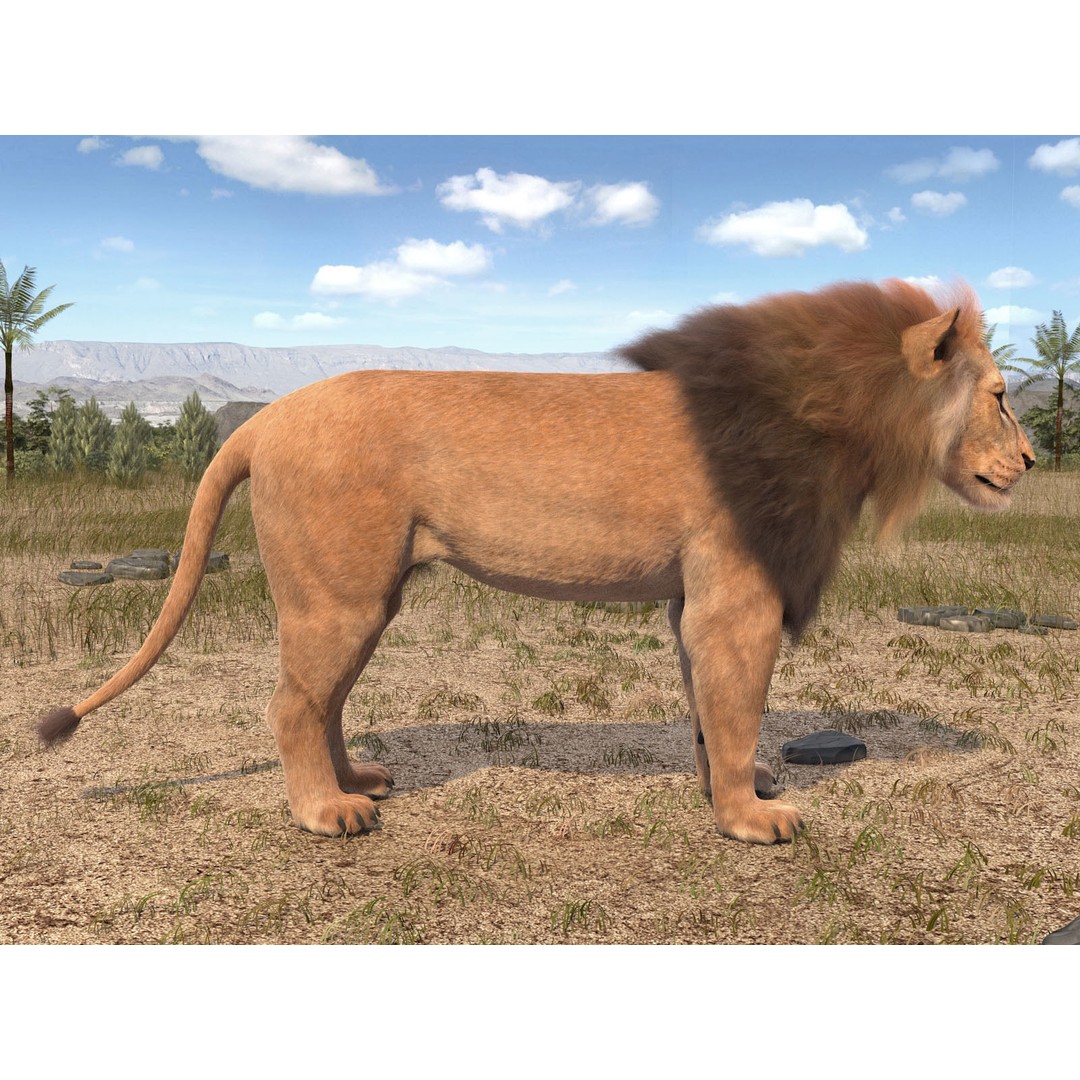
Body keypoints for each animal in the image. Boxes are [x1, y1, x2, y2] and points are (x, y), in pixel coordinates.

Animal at [38, 278, 1034, 844]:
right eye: (998, 396)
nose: (1030, 460)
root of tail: (262, 418)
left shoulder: (694, 599)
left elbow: (709, 711)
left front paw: (730, 791)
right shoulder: (737, 596)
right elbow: (737, 706)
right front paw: (753, 822)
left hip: (368, 595)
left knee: (325, 700)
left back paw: (357, 781)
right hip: (339, 594)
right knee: (292, 703)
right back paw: (327, 814)